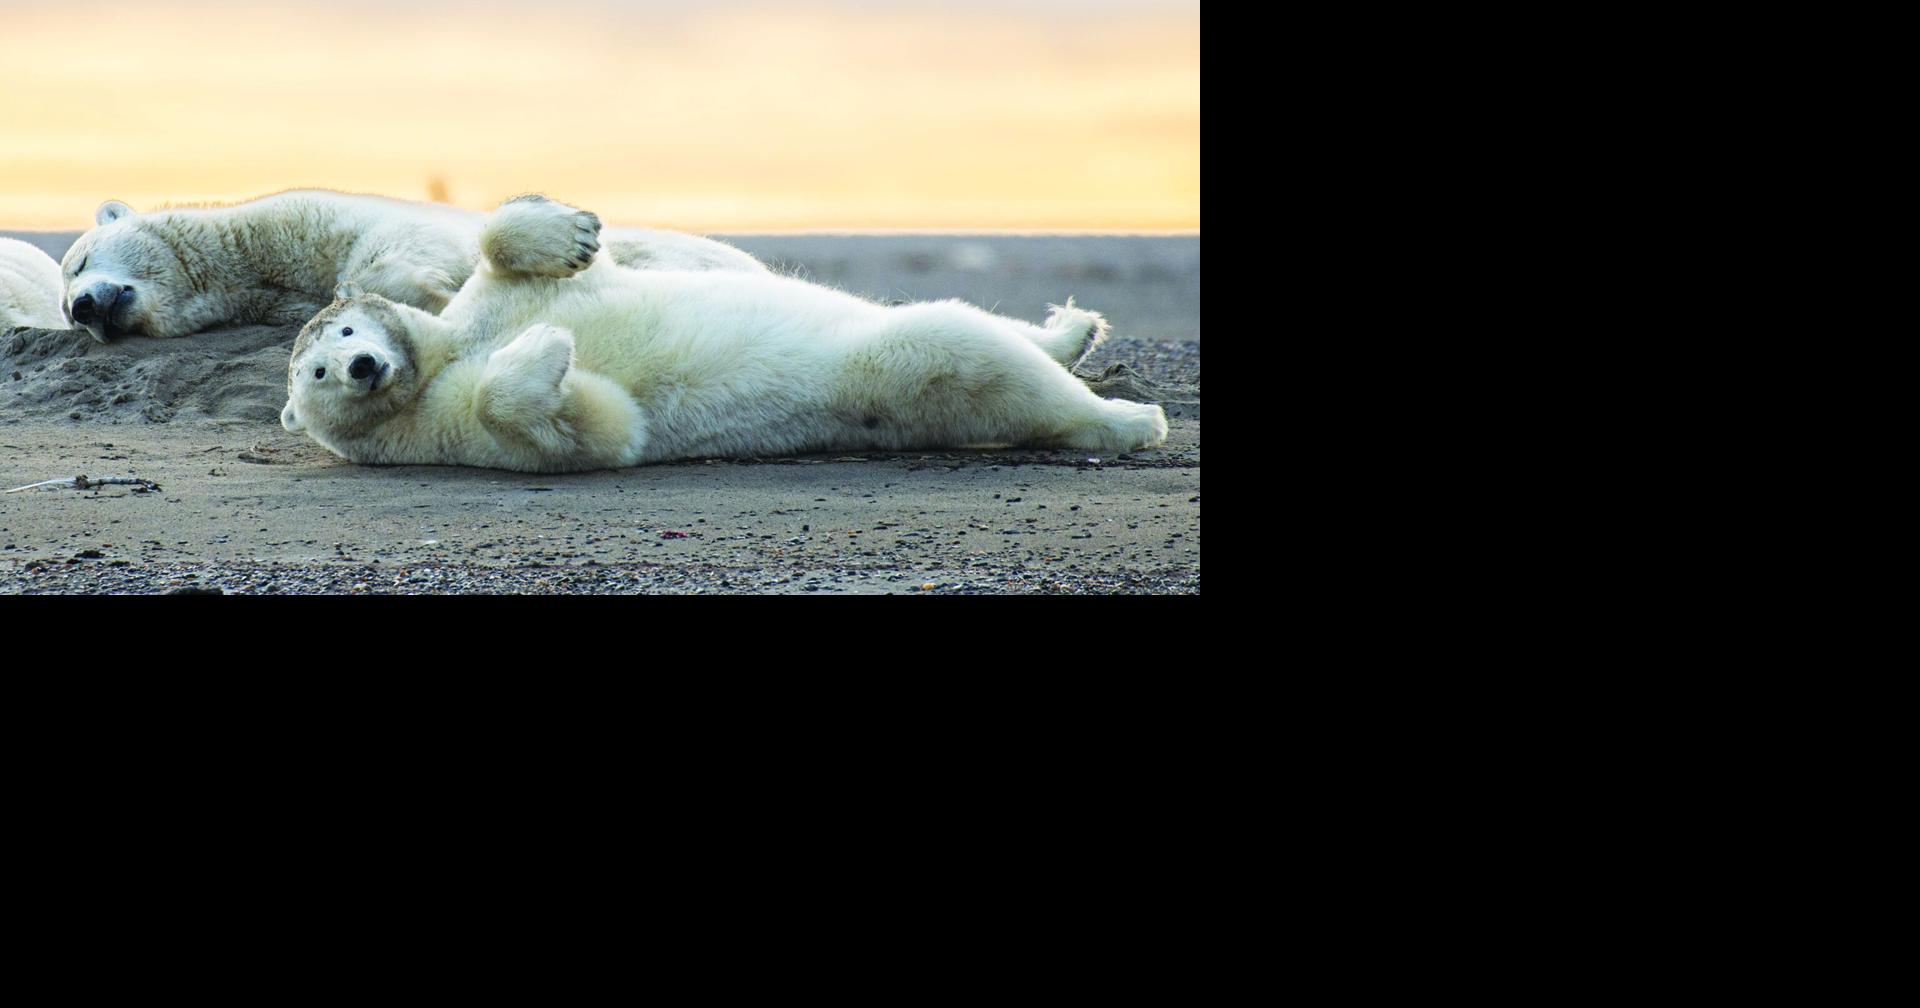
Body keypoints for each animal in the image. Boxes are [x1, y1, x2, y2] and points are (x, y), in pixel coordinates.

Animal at [279, 195, 1168, 473]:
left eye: (347, 327)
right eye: (313, 373)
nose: (360, 366)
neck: (435, 361)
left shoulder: (483, 305)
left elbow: (509, 253)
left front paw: (571, 232)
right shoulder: (443, 428)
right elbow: (597, 426)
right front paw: (546, 352)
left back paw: (1073, 330)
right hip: (897, 380)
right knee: (959, 349)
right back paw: (1127, 419)